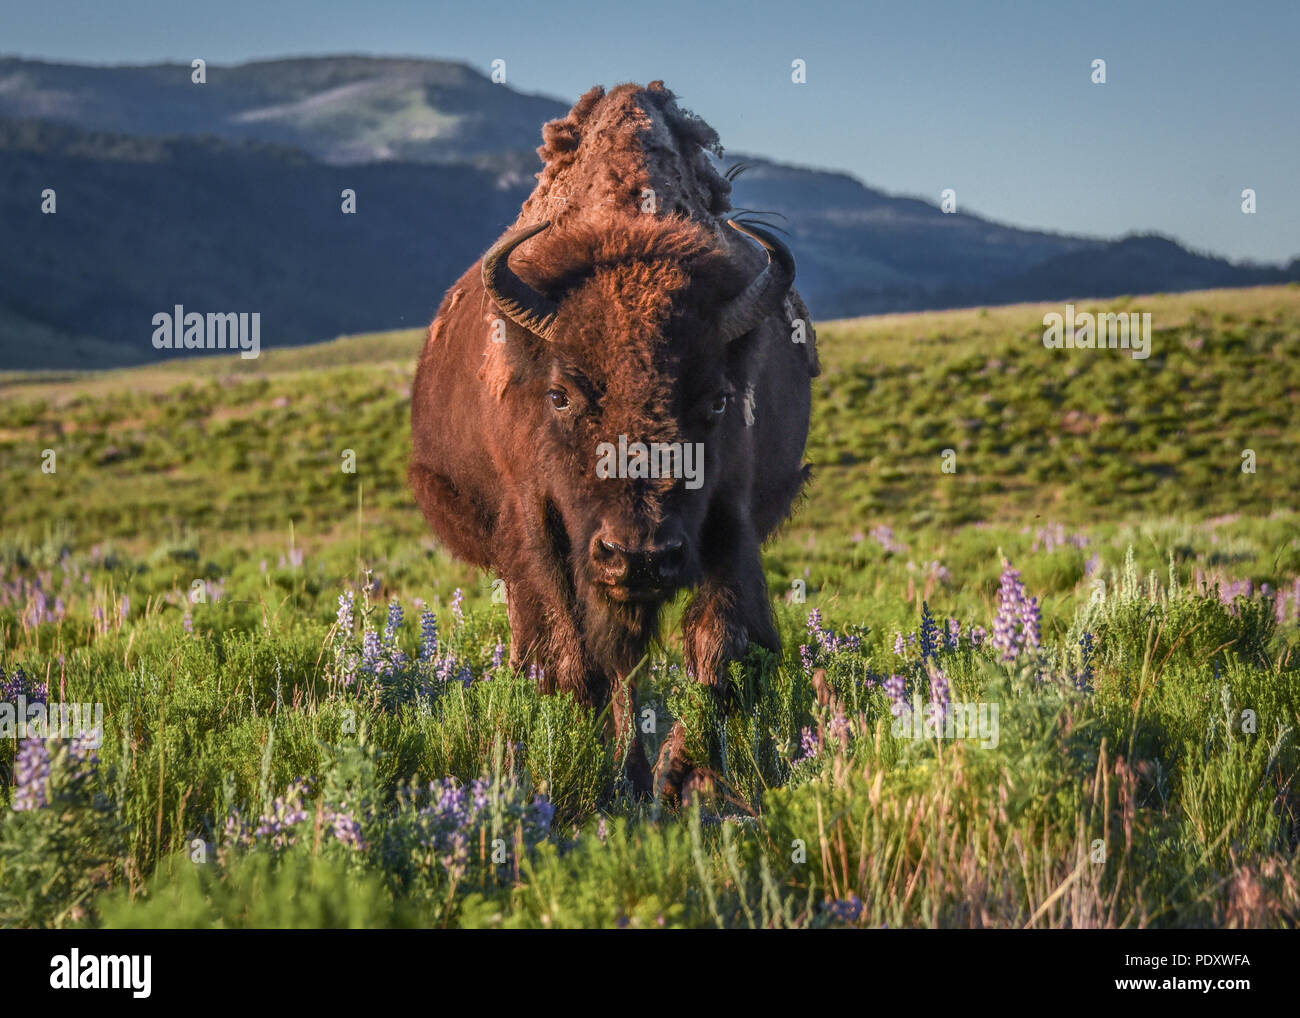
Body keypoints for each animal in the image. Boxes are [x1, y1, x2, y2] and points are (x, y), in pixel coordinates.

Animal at [408, 81, 811, 795]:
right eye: (561, 396)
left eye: (717, 401)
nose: (639, 556)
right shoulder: (535, 524)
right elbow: (570, 660)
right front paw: (593, 778)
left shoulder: (730, 518)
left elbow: (720, 648)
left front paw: (684, 776)